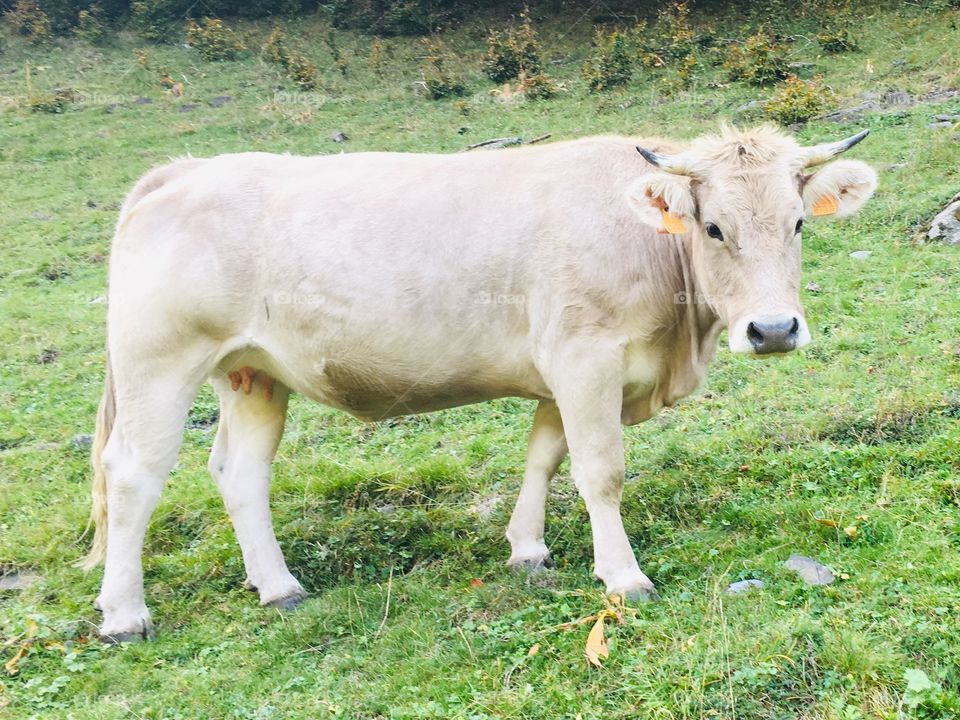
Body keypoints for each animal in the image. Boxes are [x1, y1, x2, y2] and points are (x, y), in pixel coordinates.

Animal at [81, 125, 877, 641]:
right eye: (713, 228)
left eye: (798, 223)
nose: (773, 329)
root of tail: (186, 169)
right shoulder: (585, 358)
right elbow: (600, 471)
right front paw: (622, 575)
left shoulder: (560, 370)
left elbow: (544, 456)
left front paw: (527, 549)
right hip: (160, 360)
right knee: (134, 474)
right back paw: (124, 615)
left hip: (251, 371)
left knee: (240, 472)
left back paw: (279, 588)